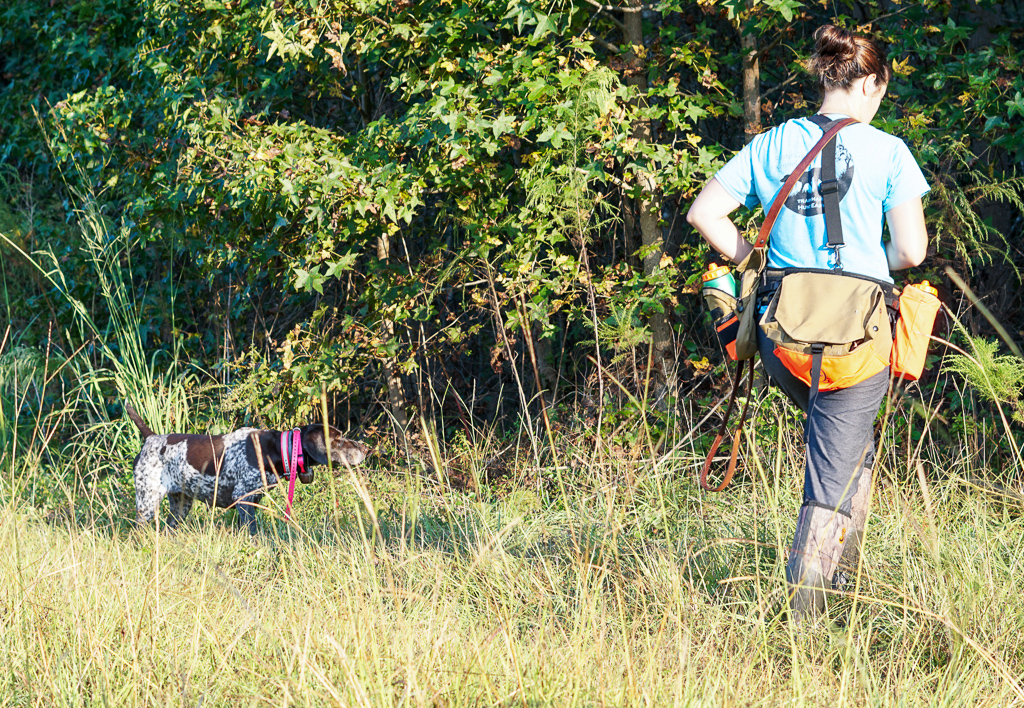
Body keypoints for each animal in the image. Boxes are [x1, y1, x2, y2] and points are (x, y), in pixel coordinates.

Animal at [125, 401, 368, 532]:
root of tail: (151, 438)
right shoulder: (243, 498)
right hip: (147, 503)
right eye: (338, 439)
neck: (278, 449)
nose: (367, 449)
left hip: (181, 505)